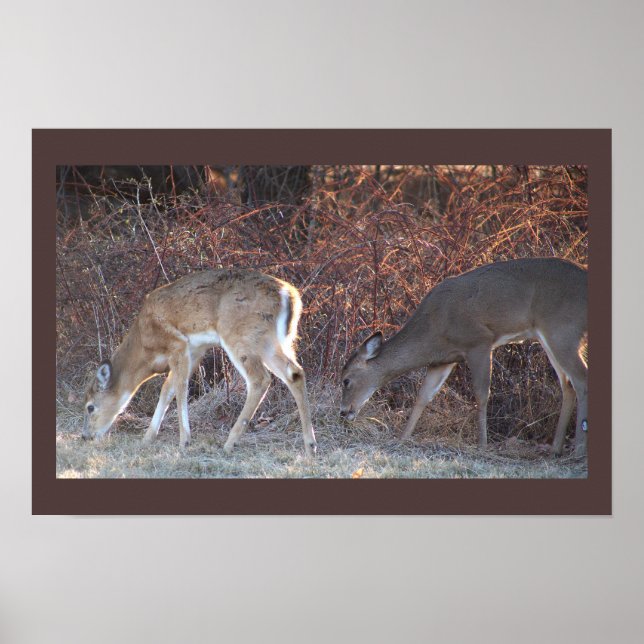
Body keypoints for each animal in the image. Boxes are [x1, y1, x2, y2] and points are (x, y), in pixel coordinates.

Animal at [81, 269, 317, 457]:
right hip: (272, 341)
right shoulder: (196, 350)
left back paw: (229, 443)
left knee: (259, 379)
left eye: (90, 407)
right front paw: (148, 437)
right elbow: (167, 389)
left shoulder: (177, 343)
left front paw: (184, 441)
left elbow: (180, 388)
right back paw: (310, 445)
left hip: (239, 335)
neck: (145, 347)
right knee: (294, 373)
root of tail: (290, 296)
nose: (85, 436)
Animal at [340, 257, 588, 457]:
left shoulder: (479, 342)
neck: (433, 330)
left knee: (581, 378)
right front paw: (402, 438)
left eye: (346, 380)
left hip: (563, 329)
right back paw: (555, 449)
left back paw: (578, 451)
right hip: (552, 336)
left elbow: (482, 394)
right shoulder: (443, 360)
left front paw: (482, 446)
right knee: (567, 384)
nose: (343, 412)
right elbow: (423, 397)